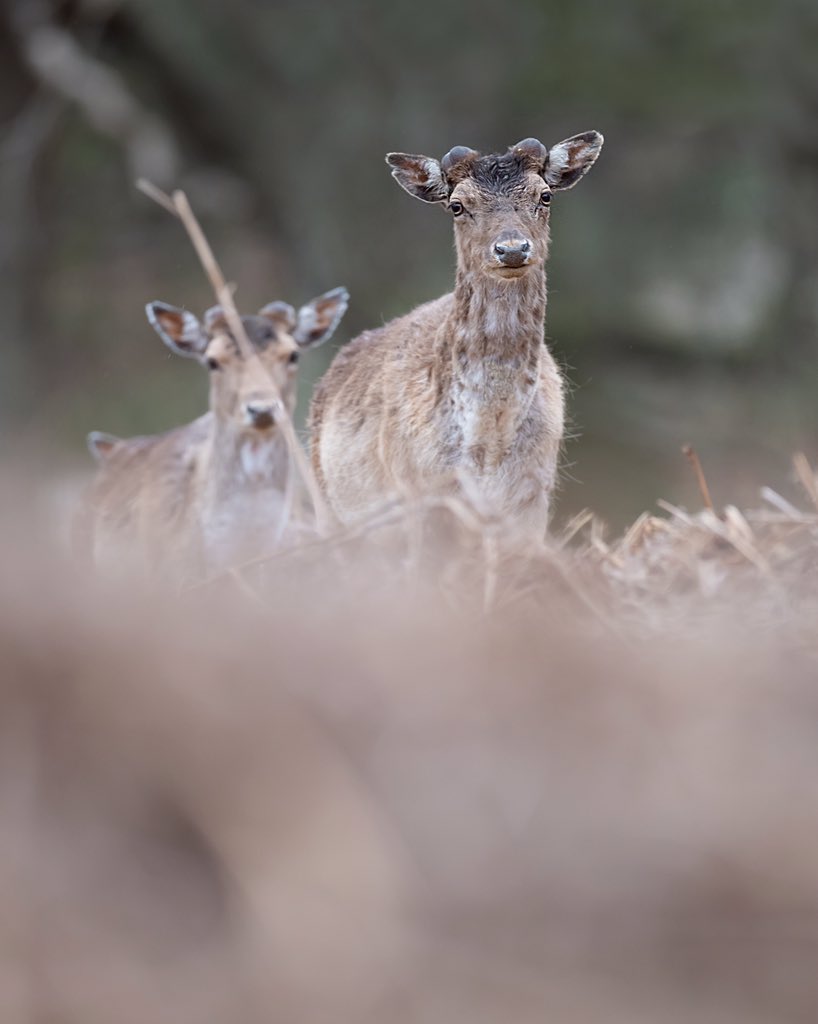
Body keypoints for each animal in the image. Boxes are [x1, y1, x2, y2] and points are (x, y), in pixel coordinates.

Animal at [309, 132, 603, 534]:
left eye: (545, 196)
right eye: (457, 205)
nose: (512, 249)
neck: (490, 444)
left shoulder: (533, 493)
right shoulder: (421, 494)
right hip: (326, 502)